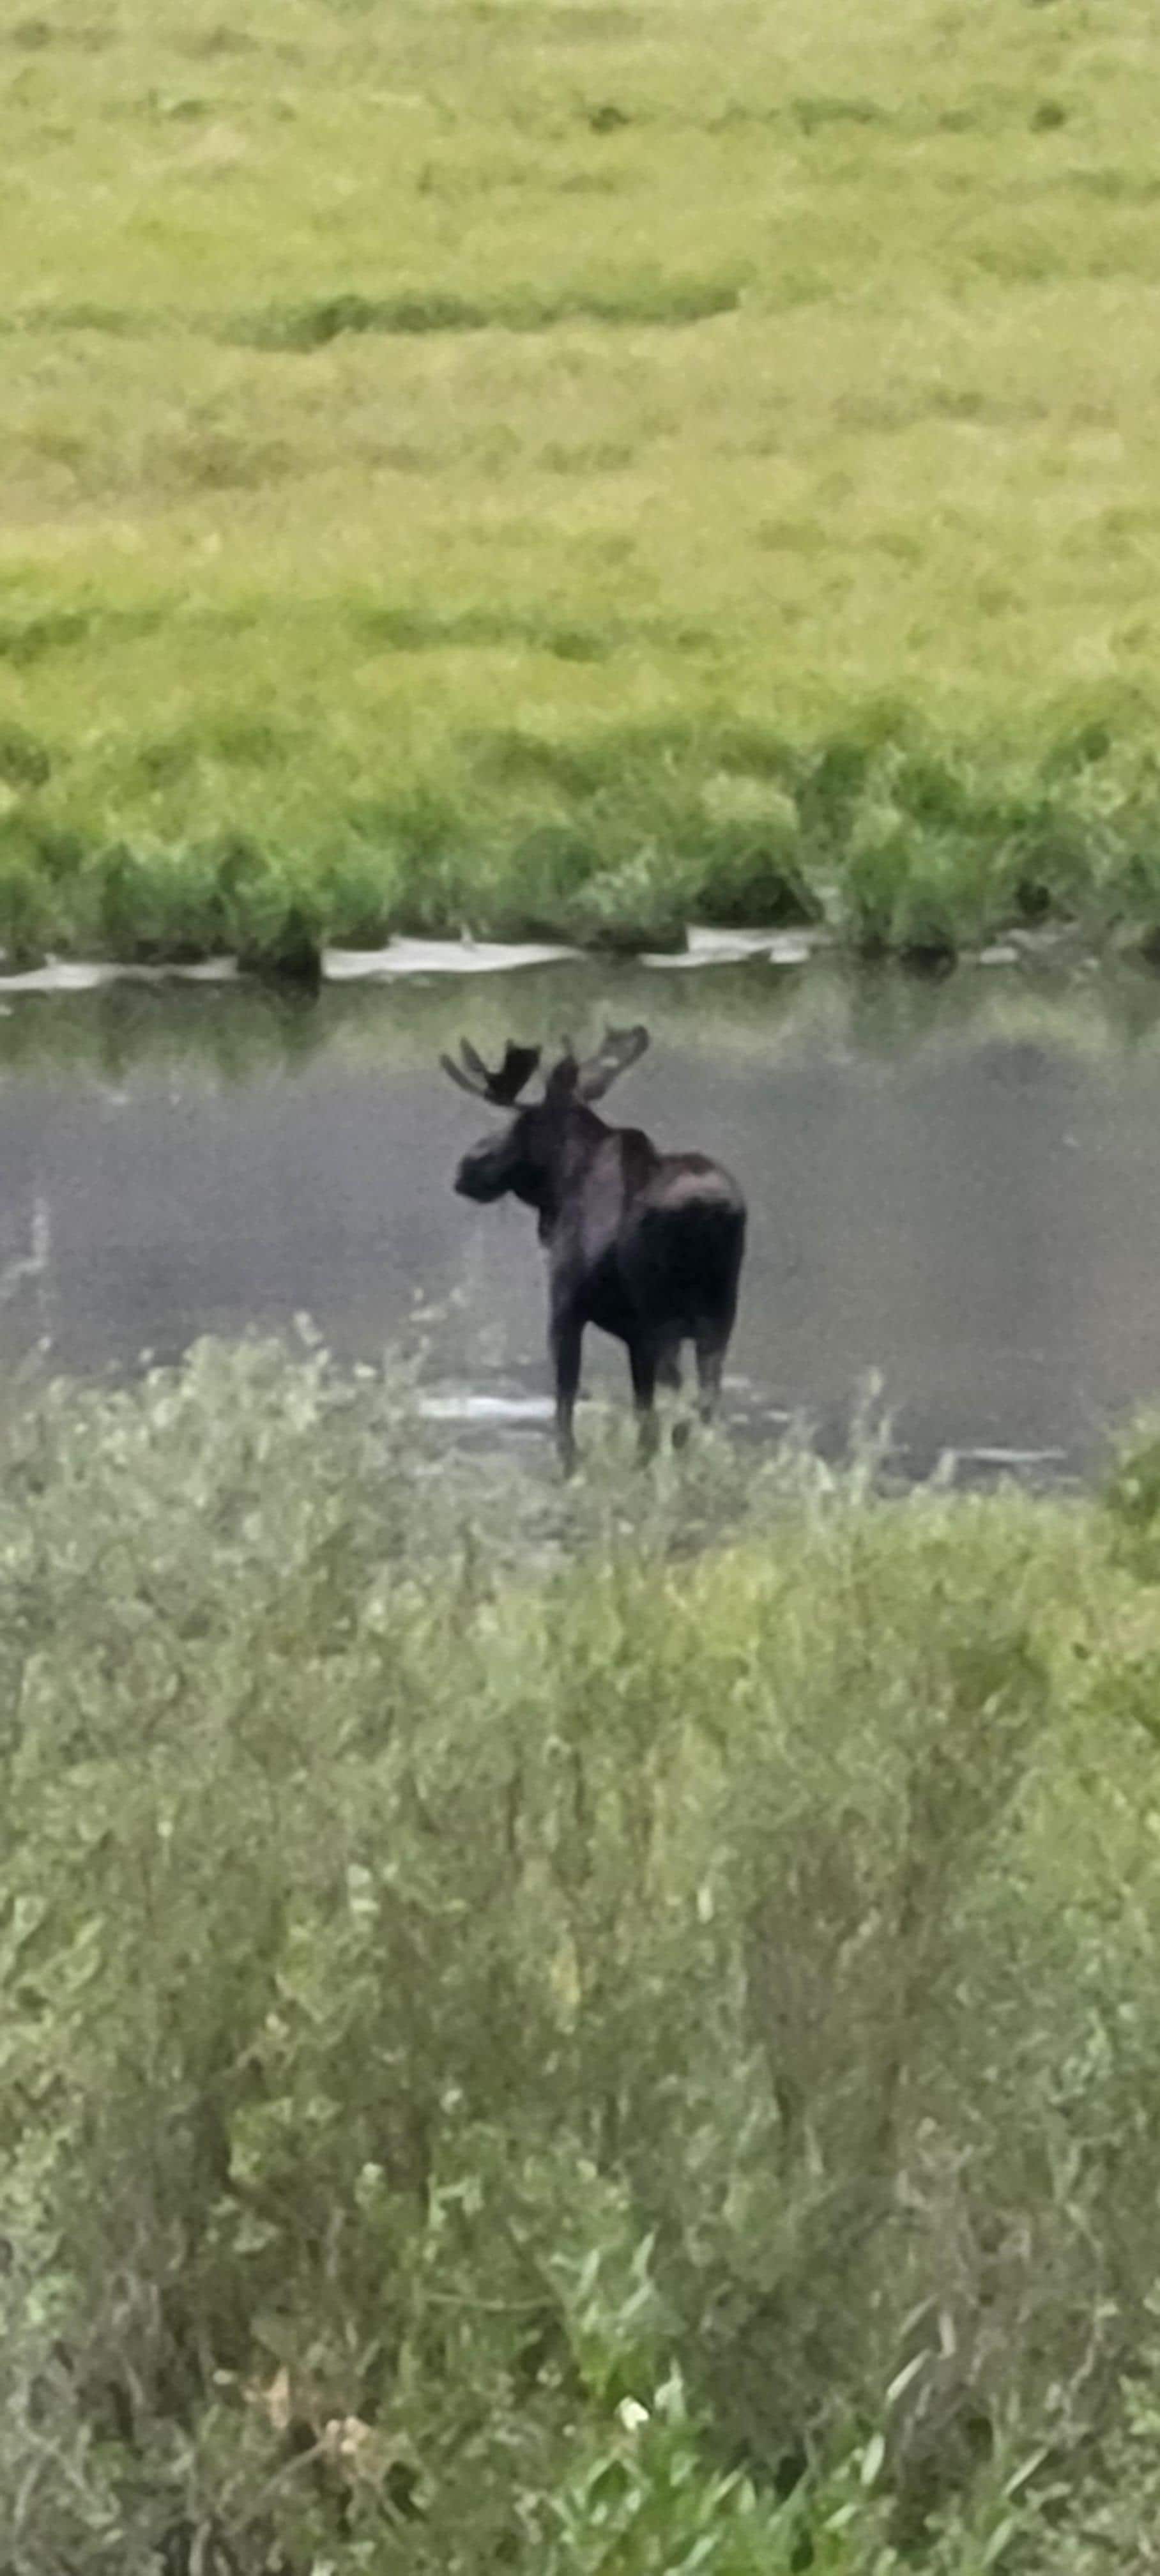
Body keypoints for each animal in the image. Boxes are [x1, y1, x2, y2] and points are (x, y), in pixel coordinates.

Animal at [443, 1025, 746, 1471]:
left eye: (519, 1123)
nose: (465, 1167)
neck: (564, 1183)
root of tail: (709, 1209)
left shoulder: (568, 1309)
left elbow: (566, 1405)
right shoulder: (637, 1335)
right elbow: (642, 1413)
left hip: (664, 1314)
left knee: (679, 1395)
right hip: (720, 1313)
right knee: (706, 1397)